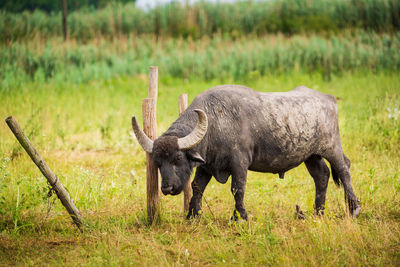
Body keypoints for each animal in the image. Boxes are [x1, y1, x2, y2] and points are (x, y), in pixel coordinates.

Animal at [132, 85, 362, 220]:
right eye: (158, 162)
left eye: (178, 158)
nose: (167, 188)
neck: (216, 122)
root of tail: (328, 98)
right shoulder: (206, 166)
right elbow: (197, 187)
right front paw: (193, 215)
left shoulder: (240, 161)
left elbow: (237, 188)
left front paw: (239, 216)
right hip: (311, 155)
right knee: (321, 175)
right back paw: (318, 212)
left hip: (331, 146)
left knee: (344, 169)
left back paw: (354, 208)